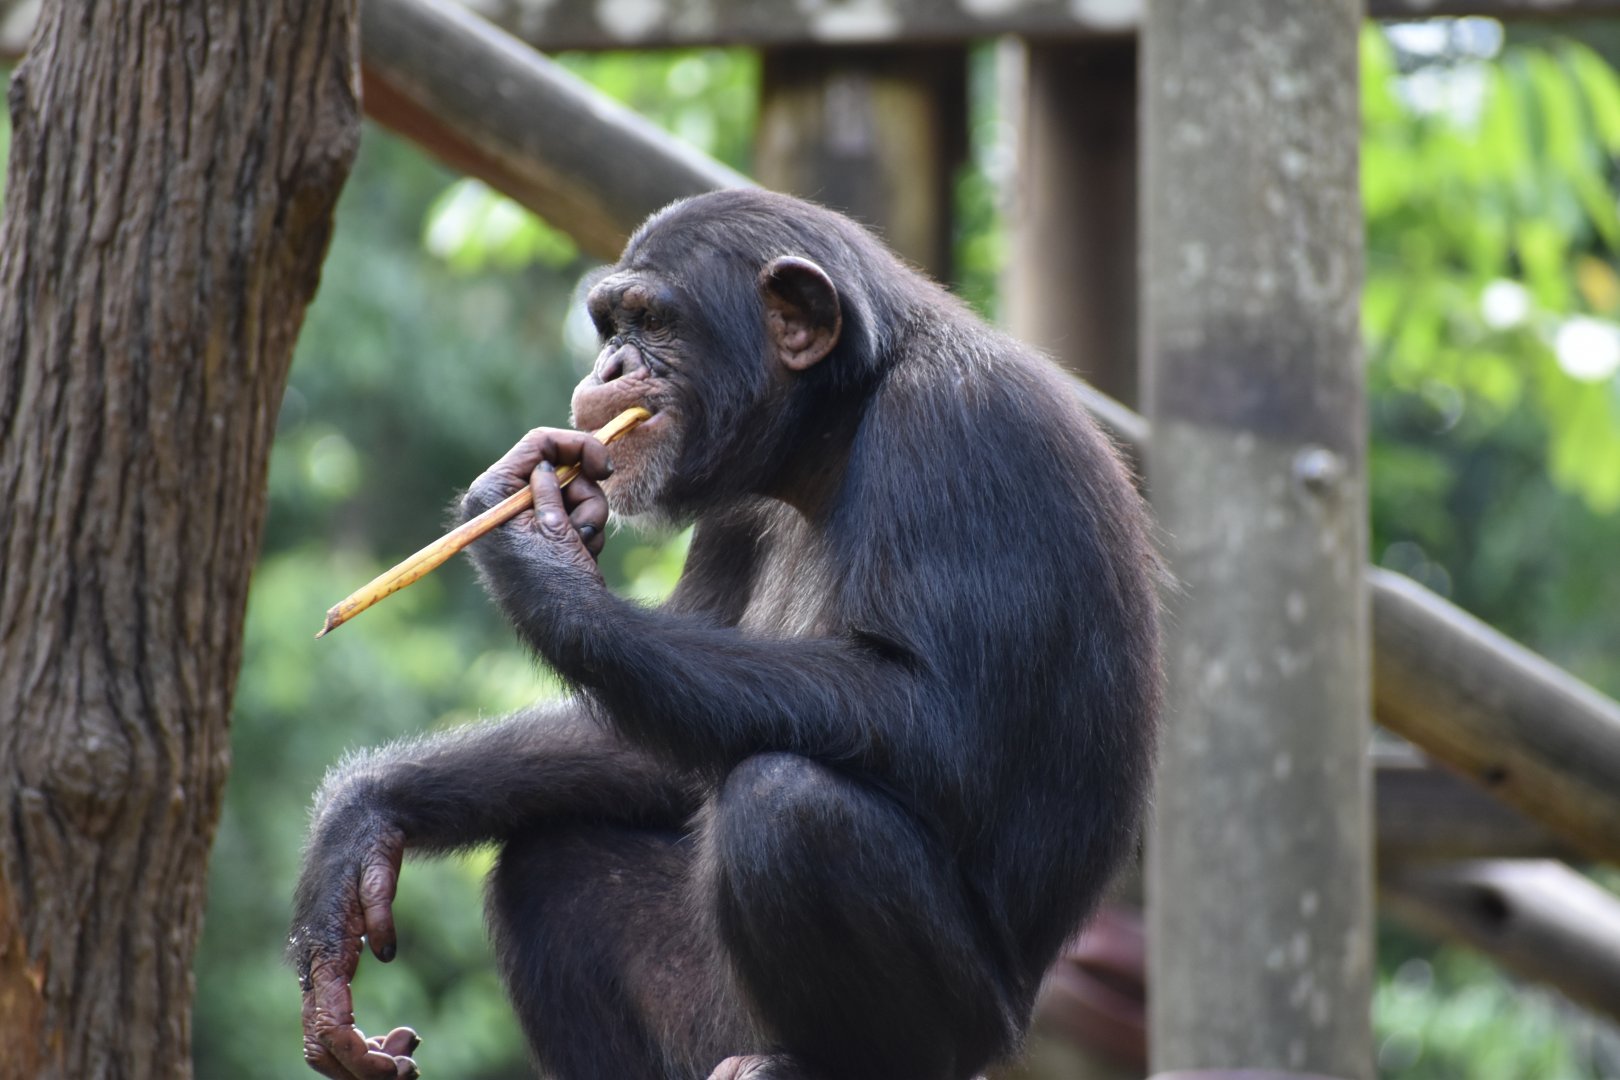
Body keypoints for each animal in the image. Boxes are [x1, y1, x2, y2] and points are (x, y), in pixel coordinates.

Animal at [290, 188, 1160, 1080]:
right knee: (552, 865)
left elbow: (935, 715)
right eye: (610, 325)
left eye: (652, 321)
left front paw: (536, 550)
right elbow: (659, 736)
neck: (833, 429)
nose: (609, 370)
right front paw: (364, 818)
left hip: (961, 1036)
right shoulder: (734, 510)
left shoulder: (957, 426)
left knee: (789, 805)